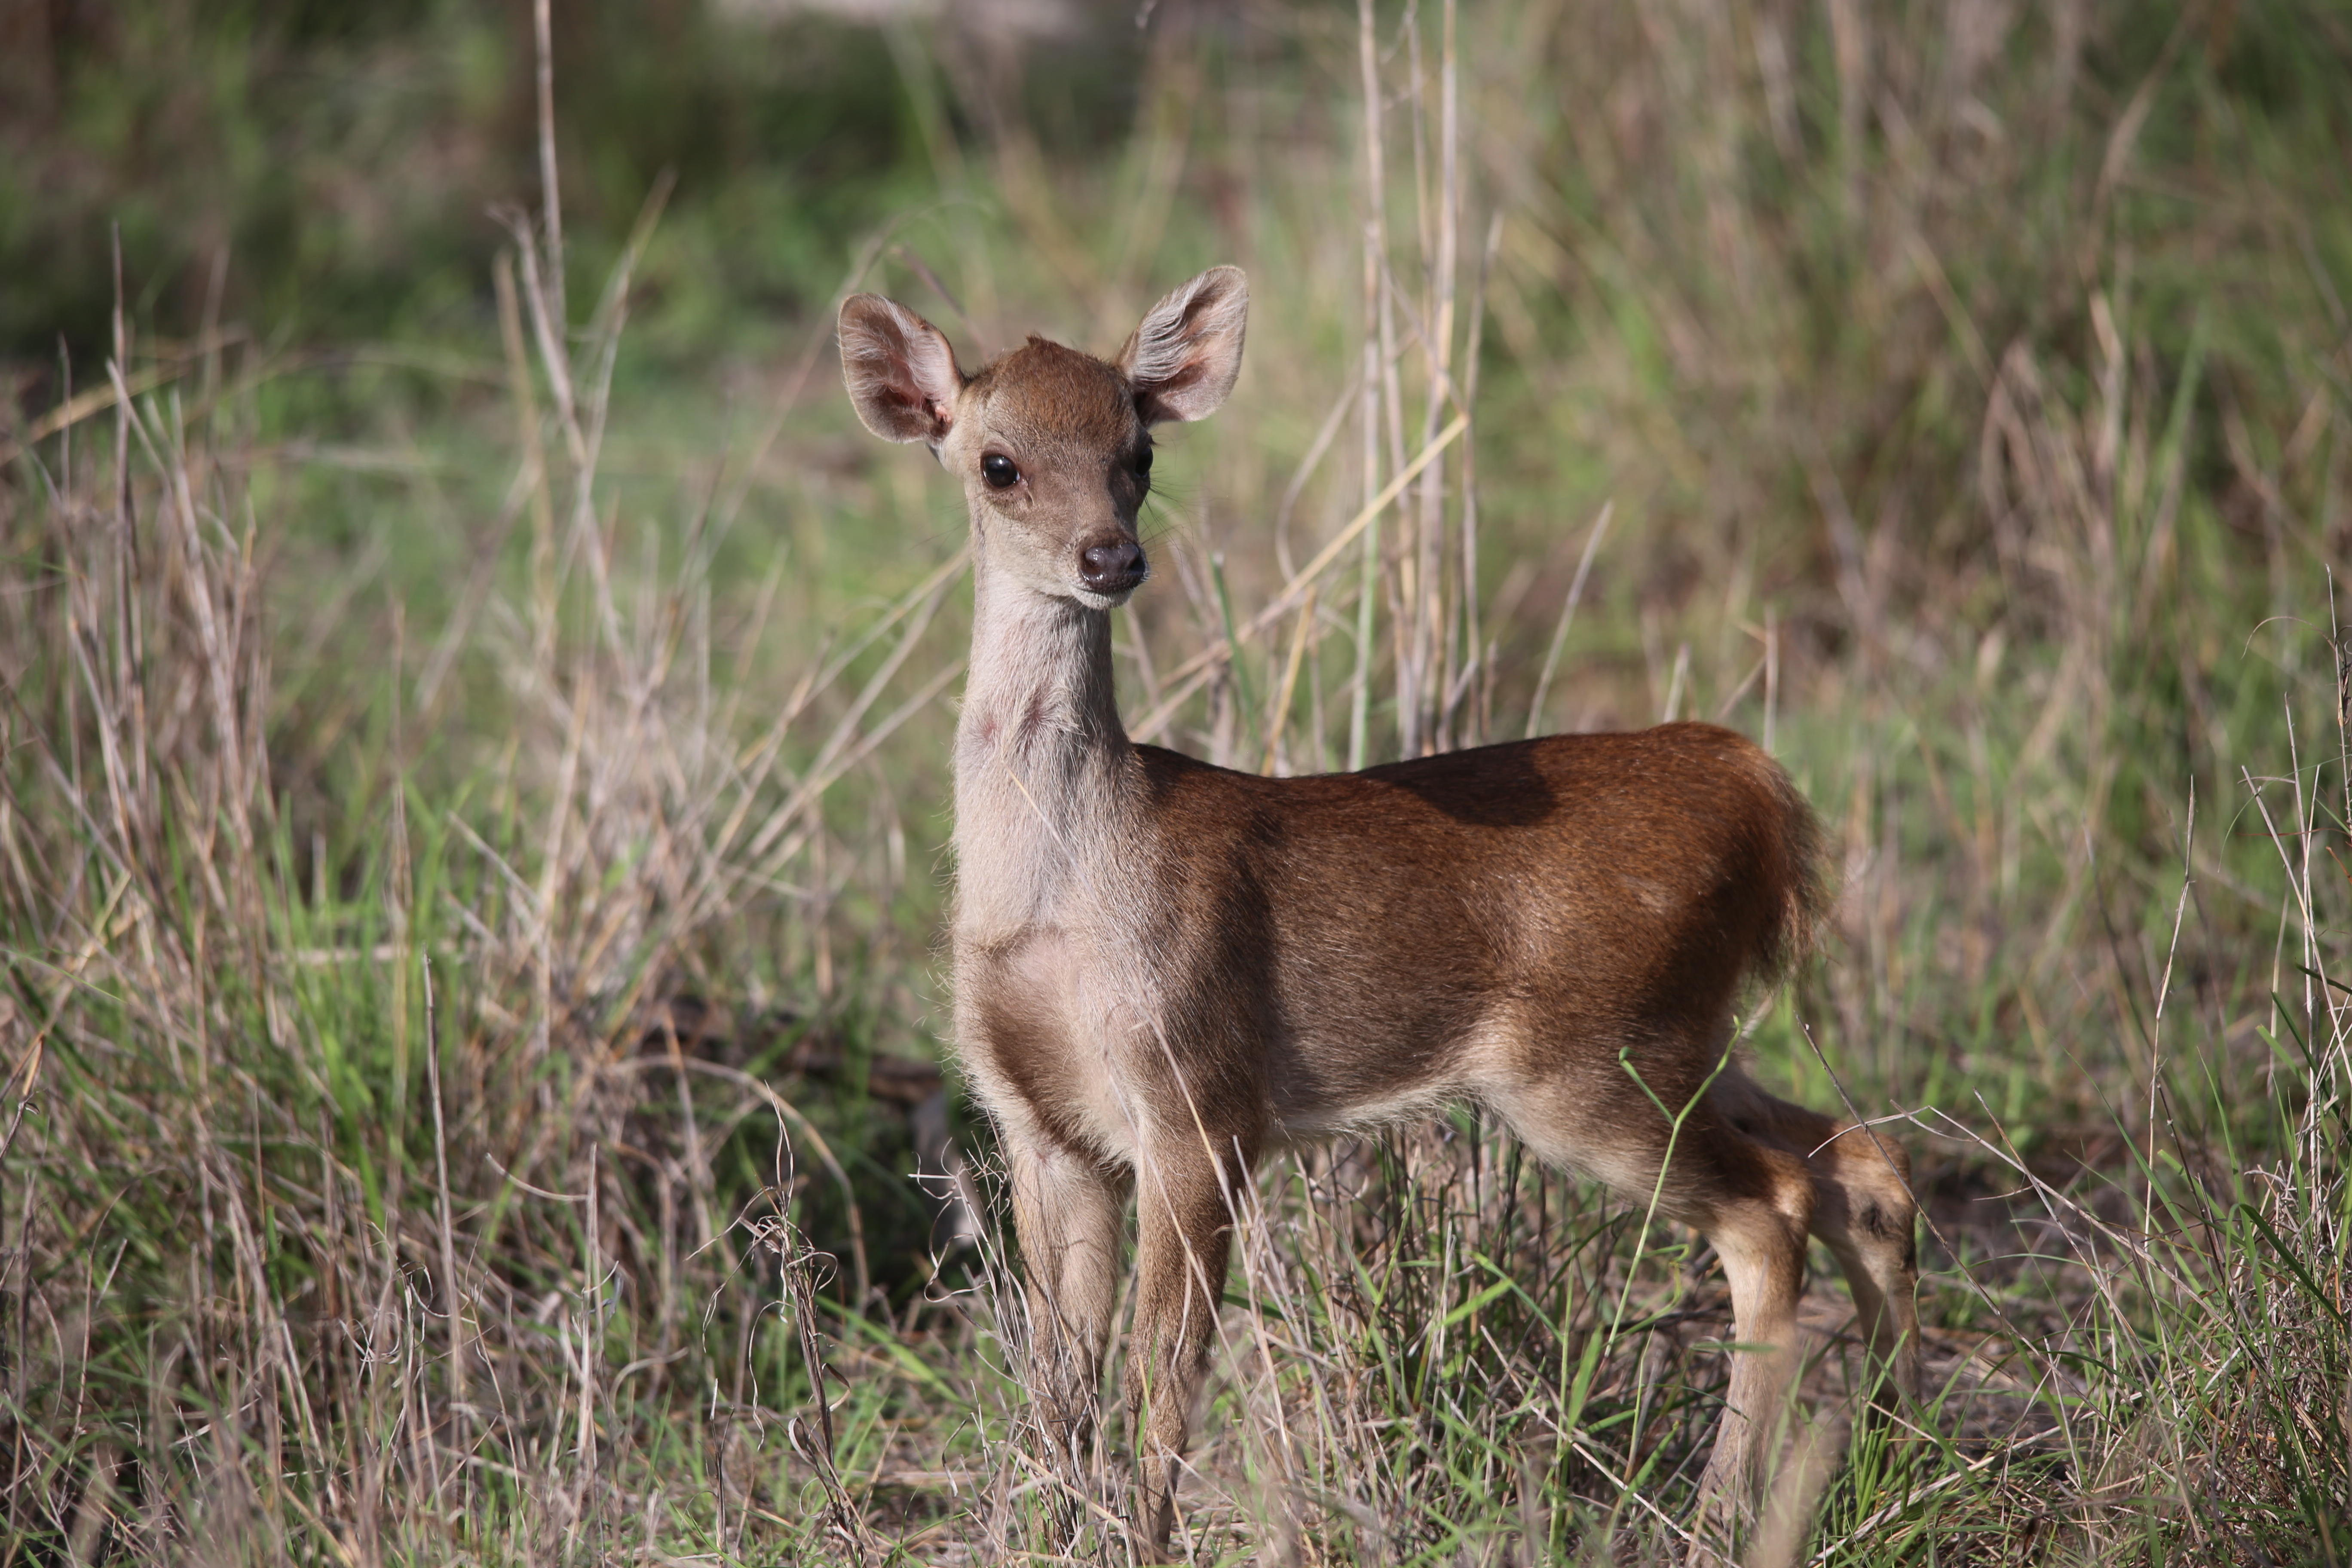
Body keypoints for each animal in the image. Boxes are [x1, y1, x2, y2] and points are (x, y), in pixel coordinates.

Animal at [837, 266, 1919, 1561]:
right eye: (998, 463)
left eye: (1136, 451)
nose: (1109, 556)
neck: (1058, 895)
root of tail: (1753, 784)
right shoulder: (1039, 1127)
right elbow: (1060, 1384)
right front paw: (1061, 1528)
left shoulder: (1199, 1094)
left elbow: (1163, 1378)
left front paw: (1144, 1539)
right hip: (1684, 1030)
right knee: (1857, 1158)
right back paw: (1890, 1456)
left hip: (1585, 1059)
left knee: (1772, 1210)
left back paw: (1720, 1515)